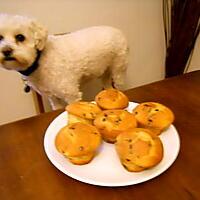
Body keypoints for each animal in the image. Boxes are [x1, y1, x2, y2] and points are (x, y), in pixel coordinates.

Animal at [0, 14, 128, 109]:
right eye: (0, 37)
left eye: (20, 37)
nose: (6, 50)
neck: (39, 61)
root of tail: (117, 30)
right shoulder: (52, 97)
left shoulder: (71, 94)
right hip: (106, 70)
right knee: (107, 83)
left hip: (119, 68)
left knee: (120, 82)